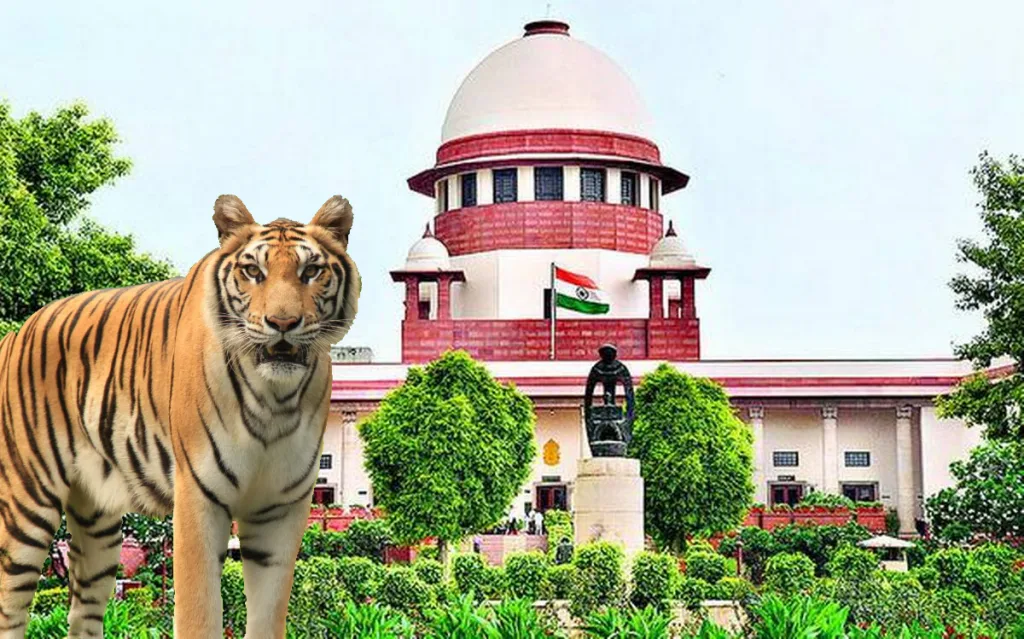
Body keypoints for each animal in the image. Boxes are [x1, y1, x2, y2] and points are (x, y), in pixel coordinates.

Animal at [0, 194, 360, 638]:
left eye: (311, 271)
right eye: (252, 271)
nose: (283, 323)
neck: (275, 399)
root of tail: (16, 333)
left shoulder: (281, 509)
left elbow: (269, 612)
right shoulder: (199, 500)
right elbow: (199, 612)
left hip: (97, 524)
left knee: (83, 612)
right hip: (26, 504)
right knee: (10, 604)